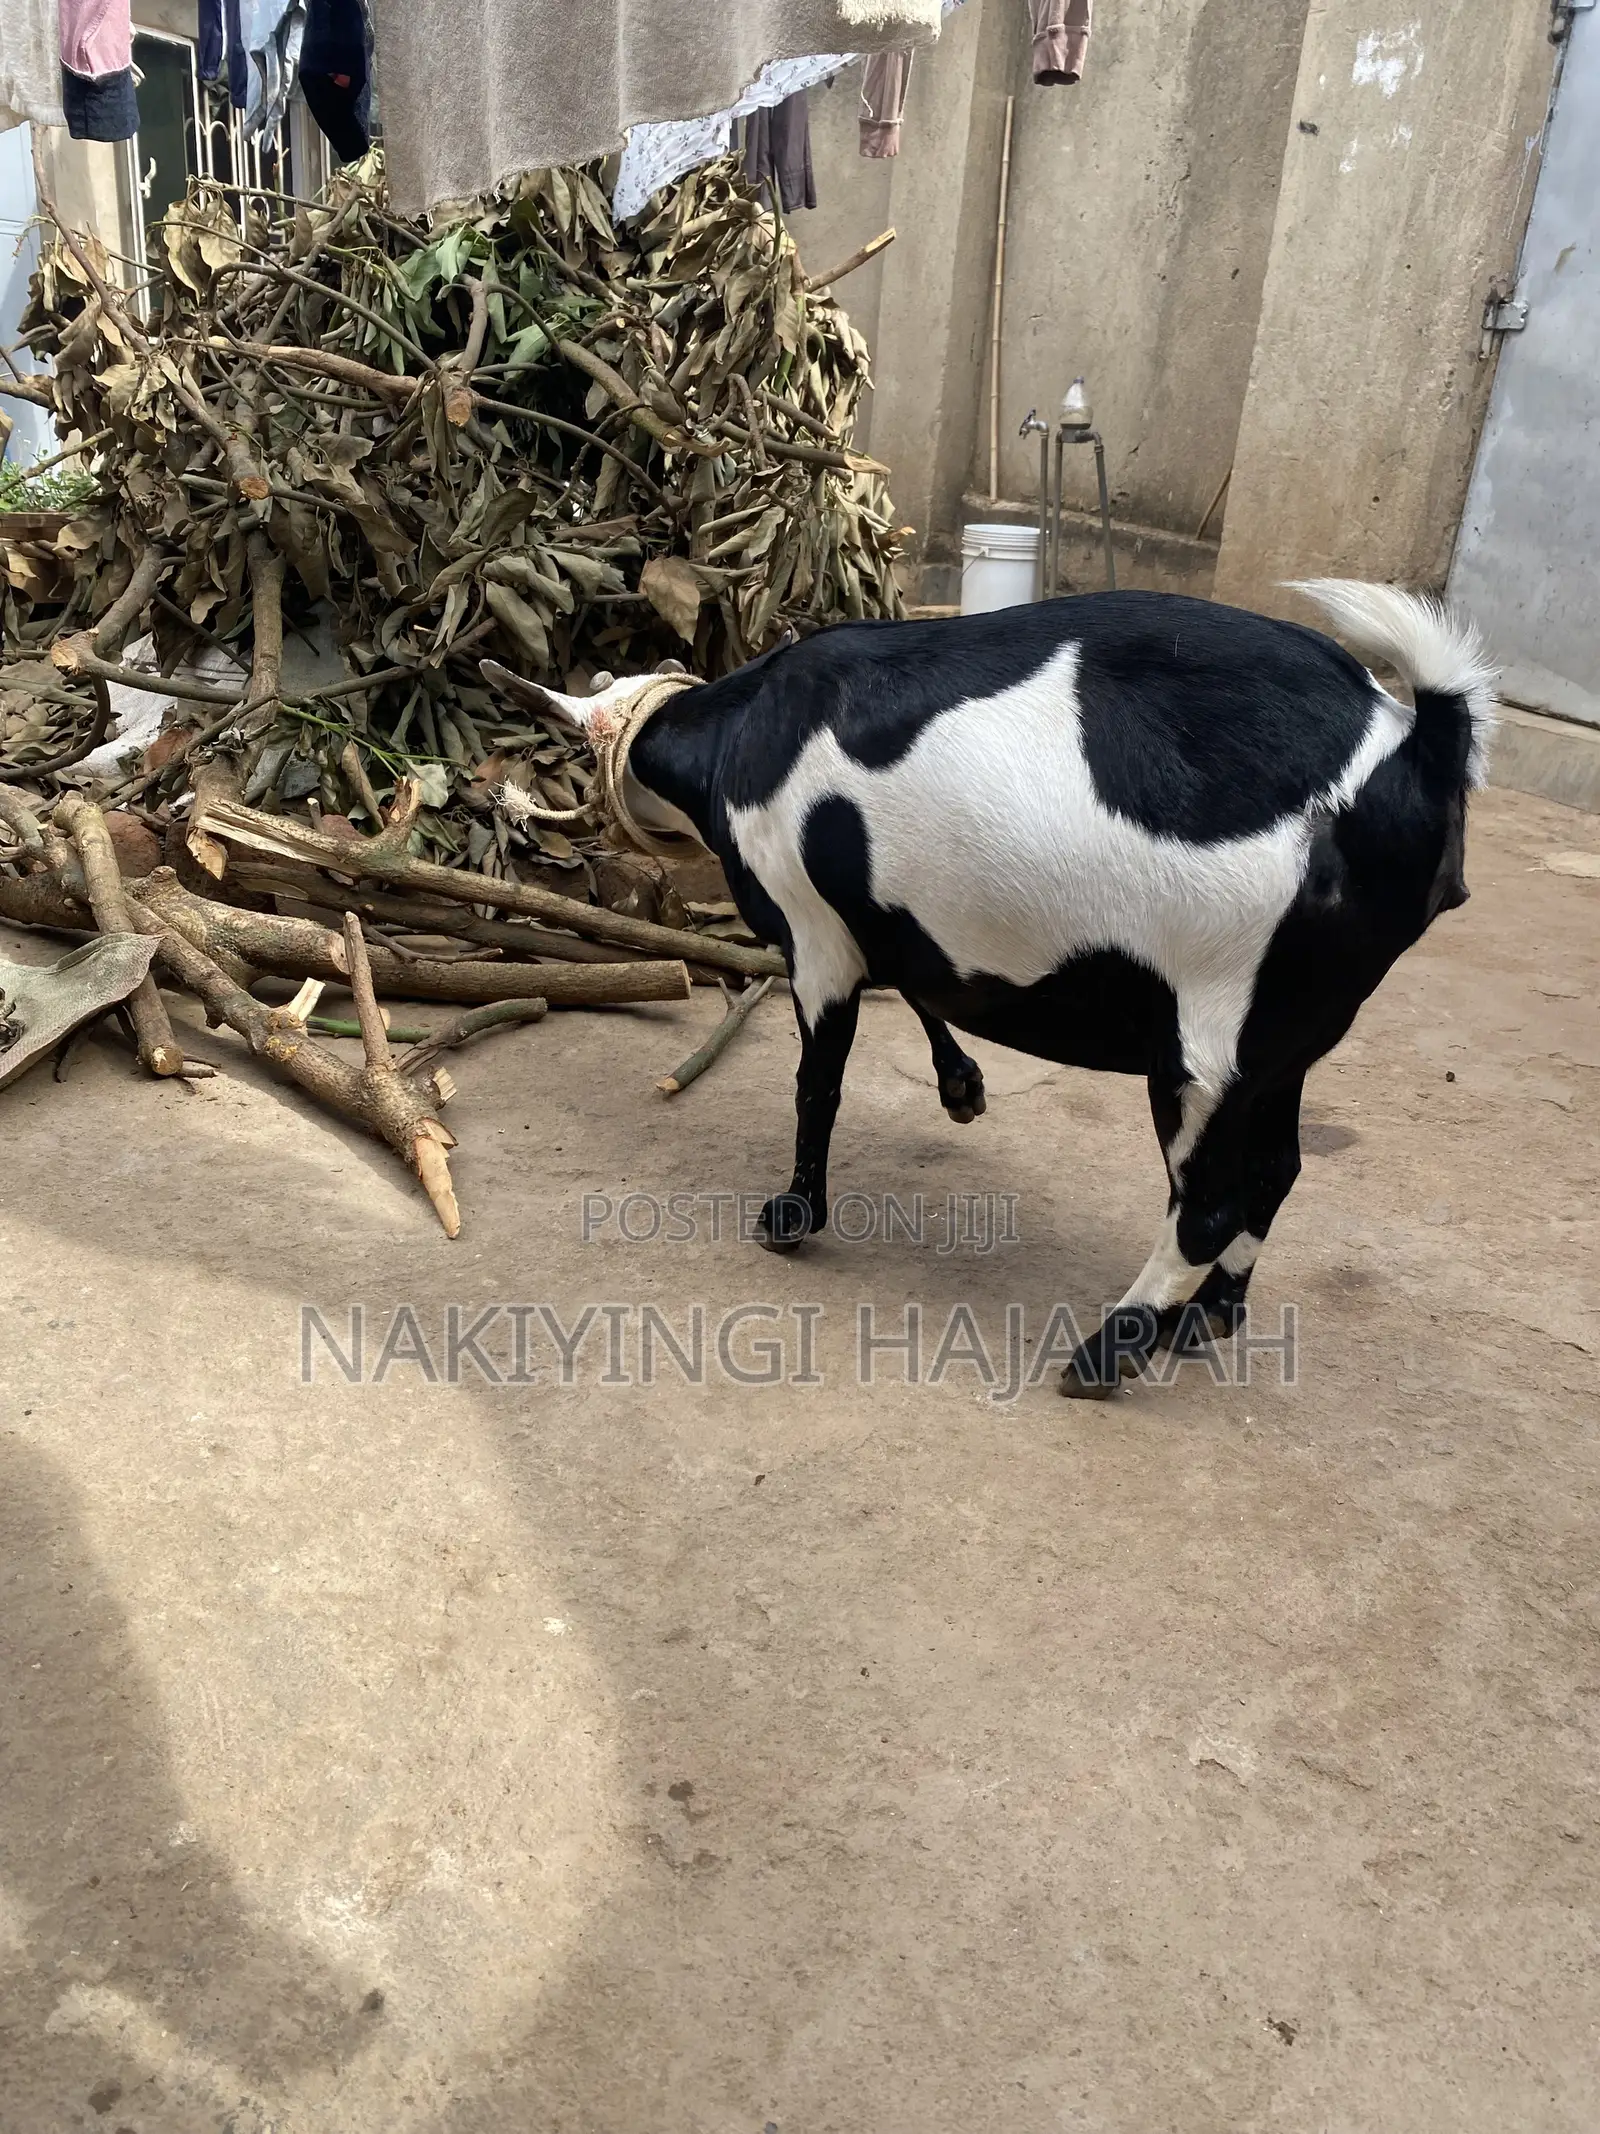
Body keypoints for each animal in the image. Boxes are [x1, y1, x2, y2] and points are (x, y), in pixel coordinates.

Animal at [492, 582, 1495, 1396]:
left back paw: (1111, 1351)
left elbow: (819, 1082)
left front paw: (793, 1217)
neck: (747, 729)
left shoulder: (814, 933)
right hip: (1290, 1036)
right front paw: (962, 1088)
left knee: (1207, 1205)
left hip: (1209, 1038)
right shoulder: (894, 924)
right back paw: (1209, 1317)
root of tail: (1419, 750)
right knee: (1277, 1172)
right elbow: (923, 987)